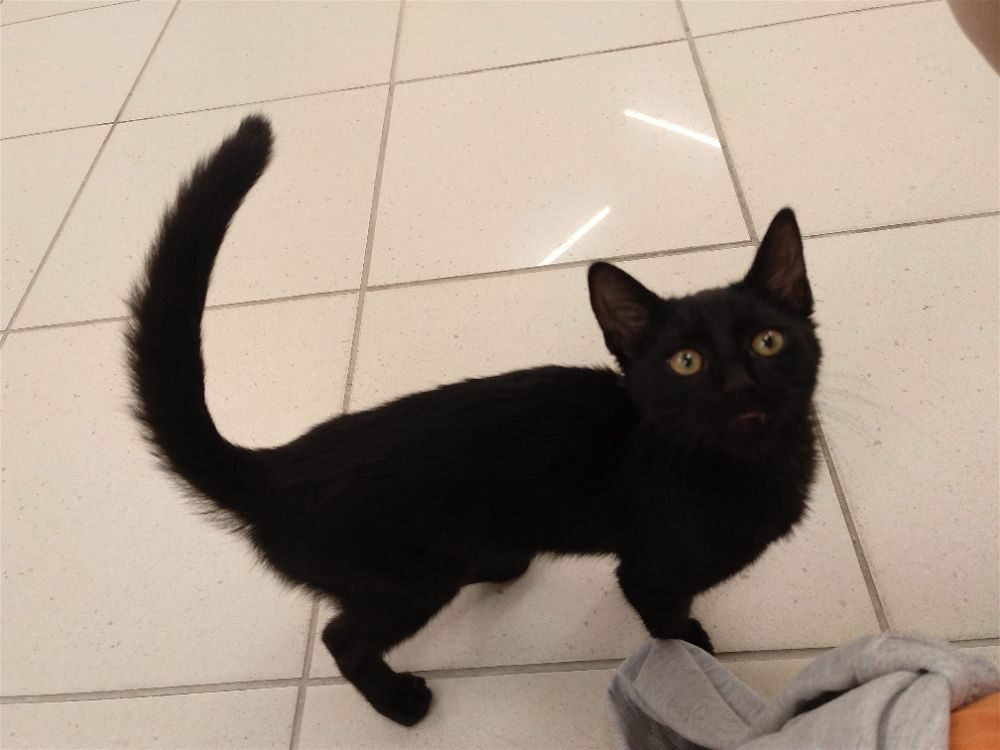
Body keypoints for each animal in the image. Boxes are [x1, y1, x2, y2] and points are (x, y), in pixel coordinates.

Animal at [127, 115, 821, 727]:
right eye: (686, 361)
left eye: (767, 342)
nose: (740, 384)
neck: (753, 469)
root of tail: (278, 468)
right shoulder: (649, 572)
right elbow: (669, 627)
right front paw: (695, 653)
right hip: (408, 581)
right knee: (342, 637)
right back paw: (397, 703)